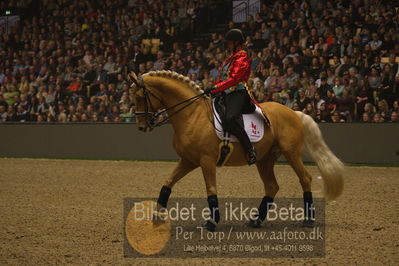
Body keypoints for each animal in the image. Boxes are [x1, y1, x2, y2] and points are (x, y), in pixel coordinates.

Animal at [130, 70, 346, 231]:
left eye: (140, 97)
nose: (141, 126)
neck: (193, 114)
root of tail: (293, 112)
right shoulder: (189, 160)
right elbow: (167, 183)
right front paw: (157, 216)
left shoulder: (206, 160)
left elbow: (211, 190)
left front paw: (211, 221)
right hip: (265, 159)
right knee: (272, 186)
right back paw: (256, 220)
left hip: (291, 153)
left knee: (305, 179)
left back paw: (308, 220)